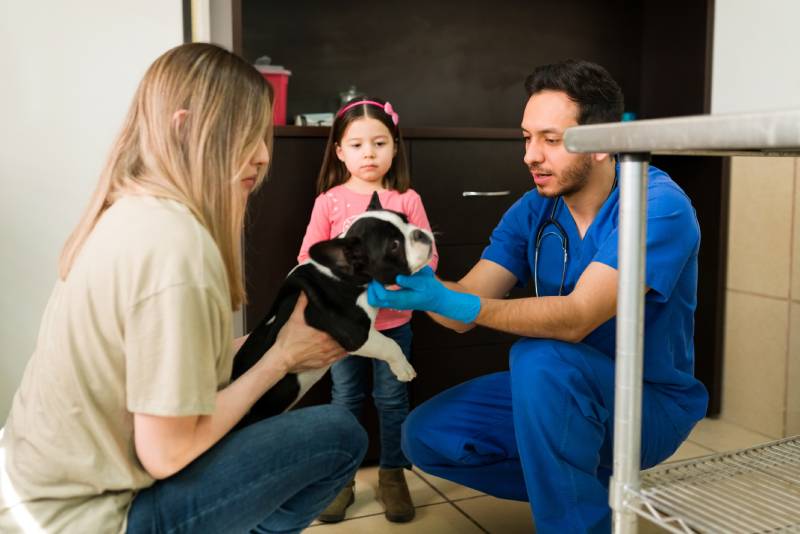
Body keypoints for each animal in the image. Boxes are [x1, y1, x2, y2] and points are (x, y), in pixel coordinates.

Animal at [228, 193, 434, 428]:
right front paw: (403, 367)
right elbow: (388, 344)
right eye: (394, 245)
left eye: (407, 219)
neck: (342, 275)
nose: (420, 233)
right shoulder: (356, 334)